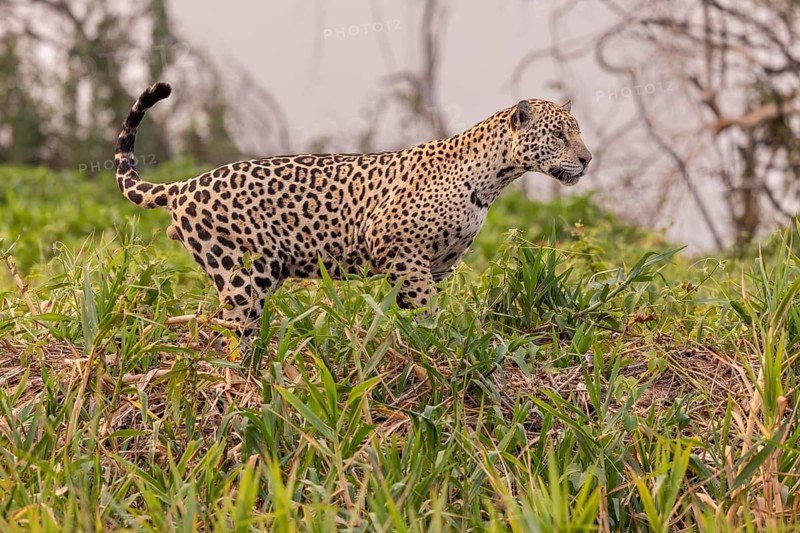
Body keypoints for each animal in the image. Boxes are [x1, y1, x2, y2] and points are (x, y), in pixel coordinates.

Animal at [114, 82, 592, 349]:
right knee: (230, 331)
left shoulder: (440, 263)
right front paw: (435, 341)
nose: (588, 159)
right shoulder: (398, 246)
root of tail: (184, 185)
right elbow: (426, 308)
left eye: (577, 132)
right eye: (559, 135)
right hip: (243, 274)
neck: (495, 178)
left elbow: (422, 307)